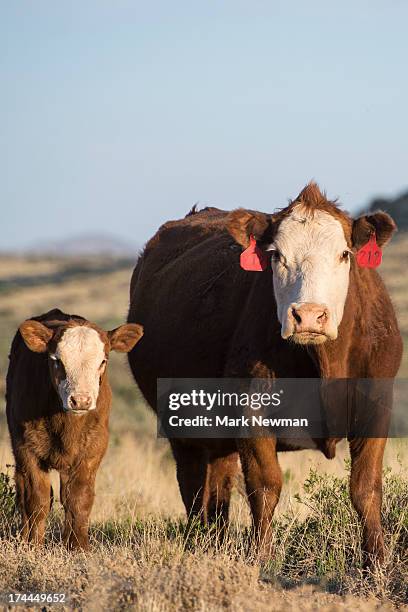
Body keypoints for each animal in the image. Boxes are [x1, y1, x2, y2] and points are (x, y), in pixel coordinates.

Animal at [5, 308, 143, 552]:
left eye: (103, 360)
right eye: (56, 360)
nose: (81, 400)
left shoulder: (93, 449)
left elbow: (78, 499)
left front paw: (78, 547)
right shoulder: (26, 448)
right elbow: (37, 499)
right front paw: (33, 546)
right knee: (24, 491)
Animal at [126, 184, 402, 568]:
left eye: (344, 254)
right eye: (276, 256)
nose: (308, 315)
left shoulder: (376, 405)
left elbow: (366, 486)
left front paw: (375, 560)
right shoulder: (251, 409)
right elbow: (265, 485)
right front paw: (261, 556)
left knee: (218, 489)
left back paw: (215, 543)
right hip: (181, 424)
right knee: (194, 487)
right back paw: (199, 543)